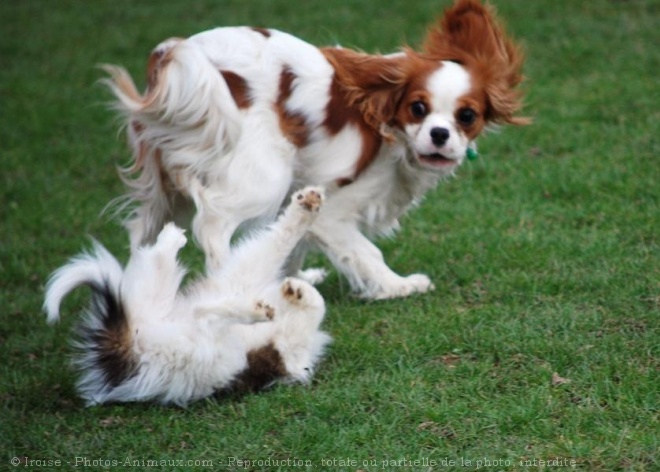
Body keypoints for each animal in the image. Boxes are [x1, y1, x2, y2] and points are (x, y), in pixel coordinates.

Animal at [43, 187, 330, 406]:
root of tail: (131, 345)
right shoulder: (289, 345)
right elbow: (318, 304)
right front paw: (299, 290)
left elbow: (316, 304)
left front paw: (297, 290)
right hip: (218, 312)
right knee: (207, 308)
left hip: (174, 311)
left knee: (177, 281)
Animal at [105, 0, 528, 298]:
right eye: (417, 109)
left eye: (467, 116)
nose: (440, 134)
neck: (389, 124)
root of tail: (176, 58)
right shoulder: (334, 210)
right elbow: (365, 251)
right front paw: (399, 285)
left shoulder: (301, 190)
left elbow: (291, 240)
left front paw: (288, 280)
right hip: (264, 174)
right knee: (212, 227)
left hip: (165, 186)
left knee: (142, 231)